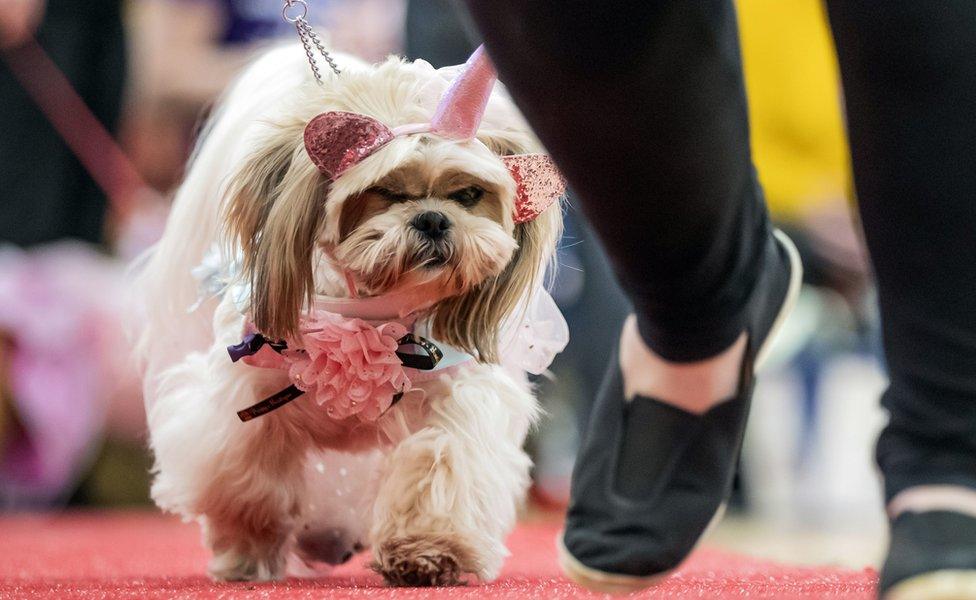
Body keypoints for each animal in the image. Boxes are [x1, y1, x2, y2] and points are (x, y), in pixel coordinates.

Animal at [134, 42, 568, 584]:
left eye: (467, 194)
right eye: (386, 192)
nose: (433, 218)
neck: (371, 316)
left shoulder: (455, 393)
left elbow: (441, 459)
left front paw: (427, 550)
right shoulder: (247, 399)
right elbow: (250, 481)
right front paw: (249, 550)